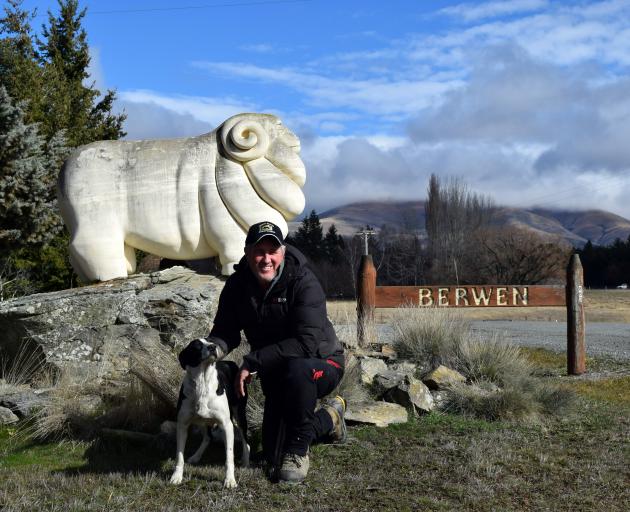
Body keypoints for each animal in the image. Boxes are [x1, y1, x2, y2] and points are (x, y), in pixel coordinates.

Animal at [170, 338, 249, 486]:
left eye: (211, 341)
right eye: (197, 346)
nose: (213, 347)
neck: (202, 382)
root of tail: (230, 362)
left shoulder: (226, 425)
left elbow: (229, 457)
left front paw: (230, 480)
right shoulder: (182, 424)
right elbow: (179, 455)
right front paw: (176, 476)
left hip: (239, 414)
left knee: (245, 439)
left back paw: (246, 460)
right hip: (201, 420)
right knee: (208, 437)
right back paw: (196, 456)